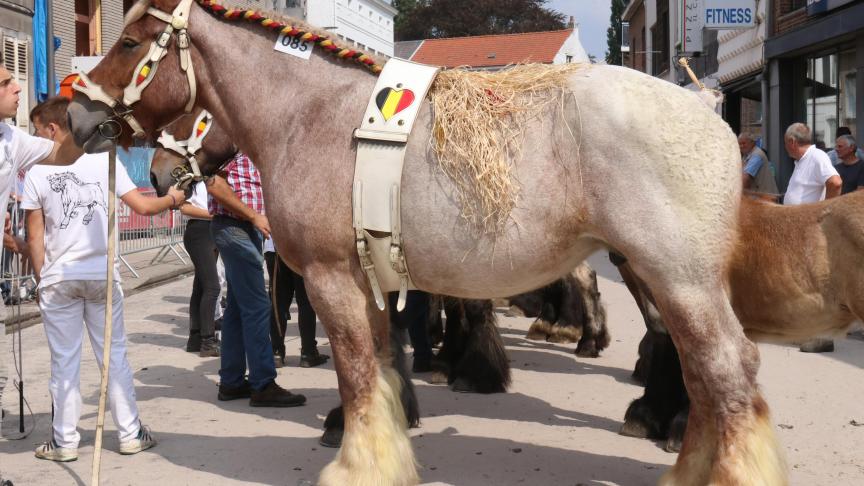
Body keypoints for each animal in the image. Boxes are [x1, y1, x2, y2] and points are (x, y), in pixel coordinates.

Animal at [64, 1, 788, 484]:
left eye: (131, 43)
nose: (76, 115)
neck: (314, 117)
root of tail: (706, 109)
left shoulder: (331, 279)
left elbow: (358, 374)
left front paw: (357, 462)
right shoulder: (372, 279)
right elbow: (384, 368)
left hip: (678, 278)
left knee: (725, 372)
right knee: (705, 373)